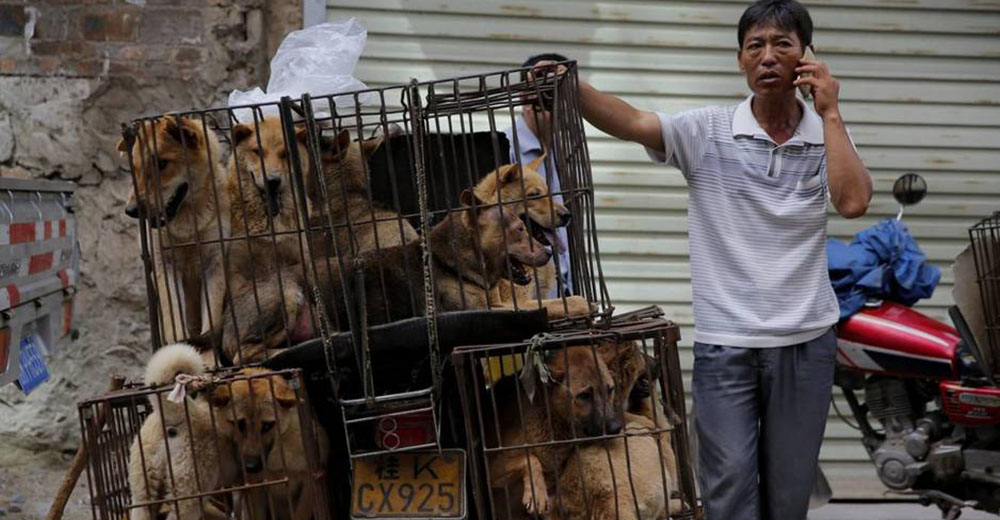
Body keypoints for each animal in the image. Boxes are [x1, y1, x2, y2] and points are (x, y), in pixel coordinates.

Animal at [120, 117, 229, 344]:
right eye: (135, 168)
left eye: (162, 164)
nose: (131, 211)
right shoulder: (164, 265)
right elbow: (174, 323)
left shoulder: (214, 262)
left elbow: (211, 319)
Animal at [486, 344, 624, 516]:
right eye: (584, 395)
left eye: (610, 389)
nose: (616, 427)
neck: (550, 416)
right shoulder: (492, 470)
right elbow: (530, 458)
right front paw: (536, 492)